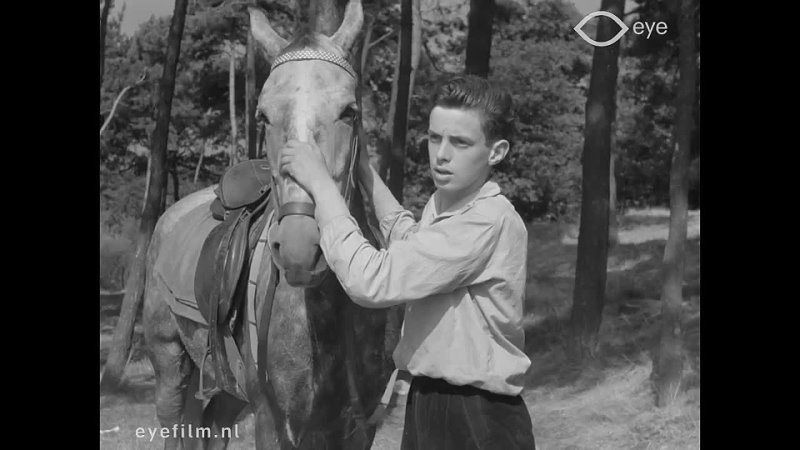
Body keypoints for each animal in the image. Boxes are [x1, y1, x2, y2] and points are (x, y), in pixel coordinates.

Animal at [141, 1, 396, 448]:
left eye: (350, 112)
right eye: (262, 116)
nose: (300, 247)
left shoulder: (358, 428)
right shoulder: (272, 422)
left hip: (227, 389)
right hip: (170, 365)